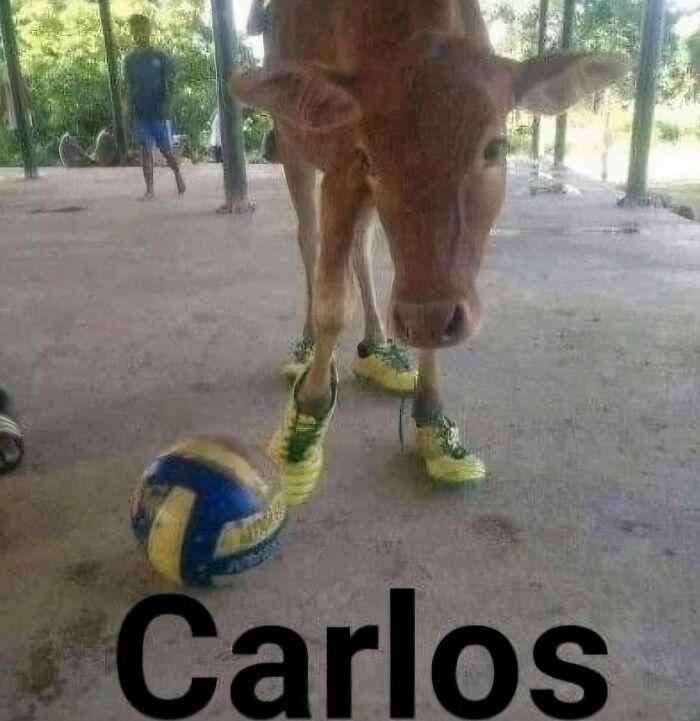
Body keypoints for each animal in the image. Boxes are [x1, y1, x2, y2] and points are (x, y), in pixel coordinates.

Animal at [232, 1, 628, 506]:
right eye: (369, 156)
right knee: (309, 240)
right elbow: (331, 302)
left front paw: (433, 422)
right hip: (291, 142)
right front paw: (307, 419)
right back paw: (304, 348)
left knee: (362, 247)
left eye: (495, 146)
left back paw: (379, 346)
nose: (425, 316)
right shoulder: (342, 167)